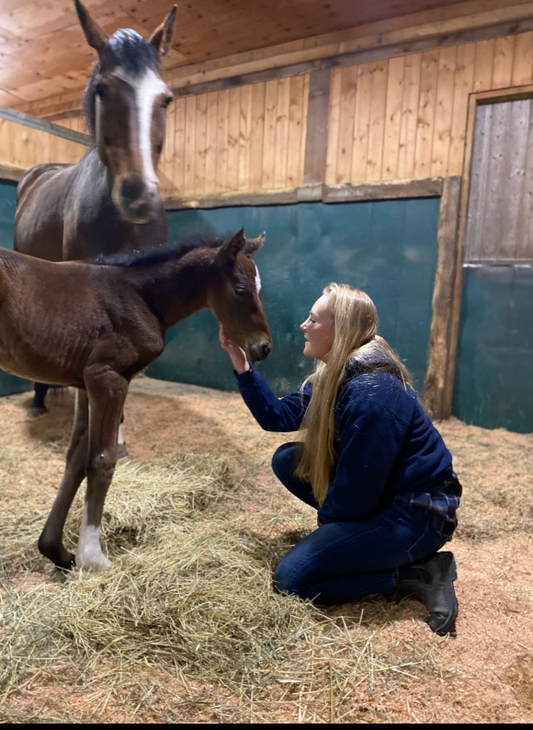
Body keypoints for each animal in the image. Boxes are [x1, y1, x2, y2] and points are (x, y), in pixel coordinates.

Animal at [0, 230, 272, 572]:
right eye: (239, 289)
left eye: (260, 288)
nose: (264, 348)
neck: (140, 297)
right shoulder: (109, 378)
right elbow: (103, 461)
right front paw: (93, 558)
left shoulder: (85, 384)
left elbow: (75, 460)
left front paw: (56, 550)